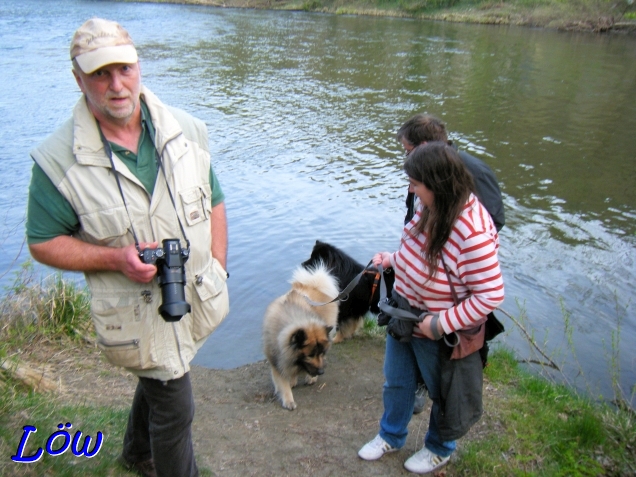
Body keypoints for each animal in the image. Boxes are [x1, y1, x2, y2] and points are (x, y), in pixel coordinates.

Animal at [262, 264, 340, 410]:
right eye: (310, 355)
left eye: (320, 353)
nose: (321, 372)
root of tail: (314, 285)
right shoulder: (277, 361)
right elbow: (283, 381)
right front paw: (288, 399)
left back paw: (311, 378)